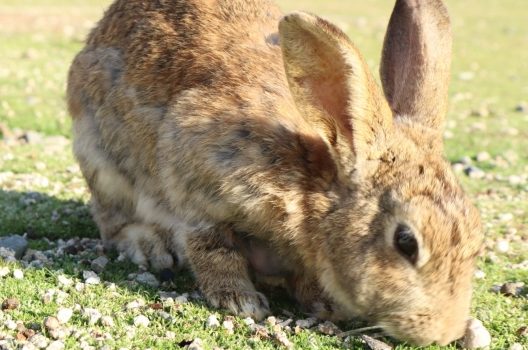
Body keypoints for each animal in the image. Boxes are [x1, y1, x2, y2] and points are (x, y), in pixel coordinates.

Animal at [67, 0, 482, 346]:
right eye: (406, 242)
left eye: (477, 240)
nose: (441, 333)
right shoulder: (196, 175)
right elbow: (211, 244)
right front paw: (241, 301)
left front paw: (322, 302)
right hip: (102, 164)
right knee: (114, 222)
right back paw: (149, 245)